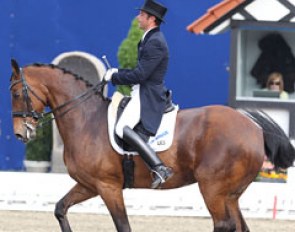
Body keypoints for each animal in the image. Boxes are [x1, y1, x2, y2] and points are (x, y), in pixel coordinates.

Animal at [9, 59, 295, 232]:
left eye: (15, 93)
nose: (21, 134)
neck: (86, 119)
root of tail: (255, 129)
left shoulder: (108, 187)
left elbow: (123, 226)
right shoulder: (89, 184)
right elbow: (60, 208)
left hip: (213, 189)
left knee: (223, 225)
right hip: (230, 194)